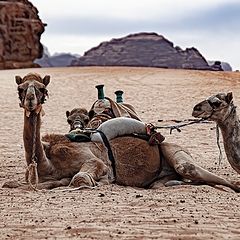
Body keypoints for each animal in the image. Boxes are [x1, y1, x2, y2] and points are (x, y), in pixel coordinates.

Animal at [4, 72, 240, 192]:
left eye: (42, 89)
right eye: (20, 89)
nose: (30, 100)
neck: (48, 163)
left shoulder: (95, 162)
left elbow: (80, 178)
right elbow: (15, 184)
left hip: (178, 153)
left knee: (197, 172)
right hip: (159, 180)